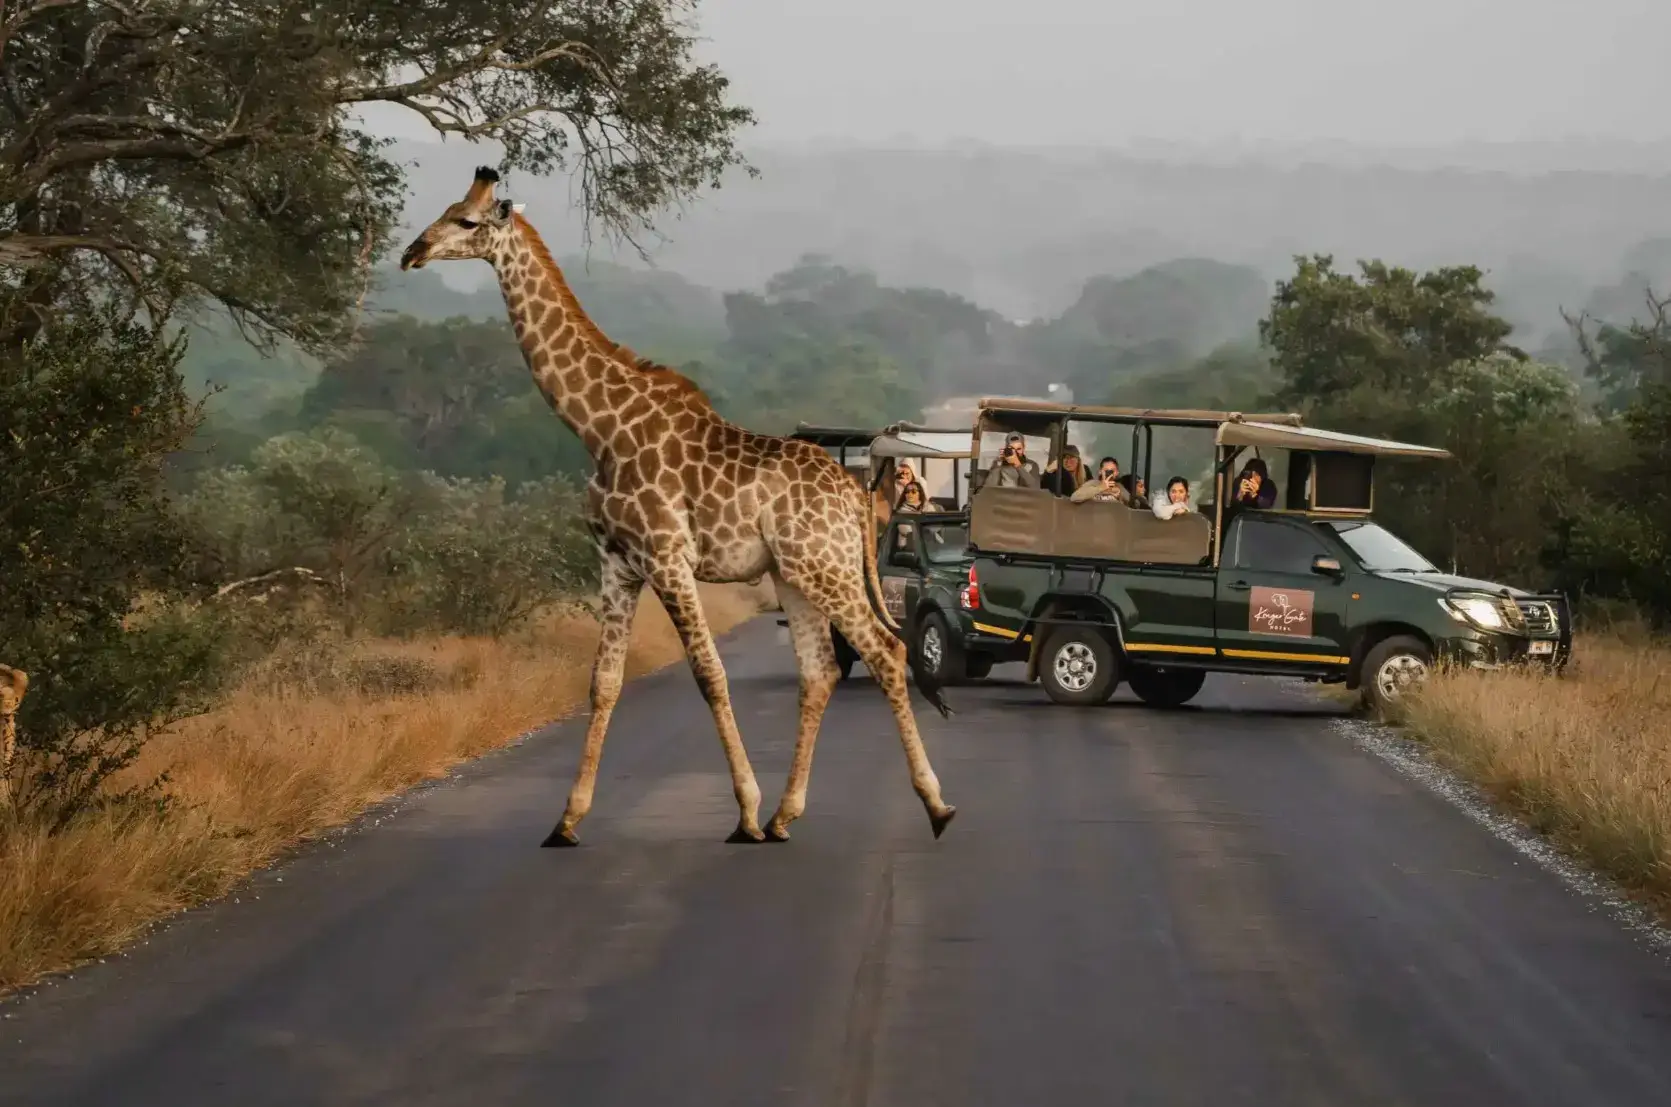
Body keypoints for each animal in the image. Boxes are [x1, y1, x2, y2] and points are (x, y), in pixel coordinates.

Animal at [398, 167, 957, 846]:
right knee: (820, 670)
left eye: (468, 221)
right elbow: (603, 682)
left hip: (828, 569)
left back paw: (934, 806)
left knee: (885, 652)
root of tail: (854, 495)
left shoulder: (668, 559)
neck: (597, 428)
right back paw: (786, 815)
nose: (413, 252)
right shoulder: (616, 562)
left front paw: (743, 812)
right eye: (448, 209)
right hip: (792, 575)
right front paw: (566, 820)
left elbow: (710, 675)